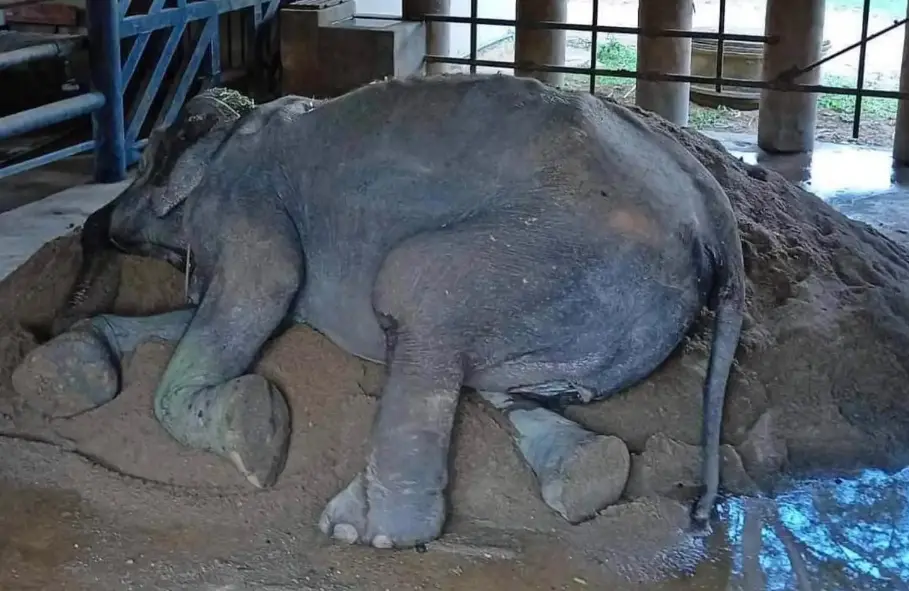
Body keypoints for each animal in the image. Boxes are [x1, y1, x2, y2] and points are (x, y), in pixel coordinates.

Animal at [19, 73, 745, 549]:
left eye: (141, 161)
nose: (96, 226)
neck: (229, 132)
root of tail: (712, 210)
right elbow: (247, 314)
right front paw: (68, 363)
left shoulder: (248, 202)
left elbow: (267, 284)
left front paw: (255, 428)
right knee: (499, 377)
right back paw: (587, 473)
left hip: (563, 252)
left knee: (414, 288)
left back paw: (368, 531)